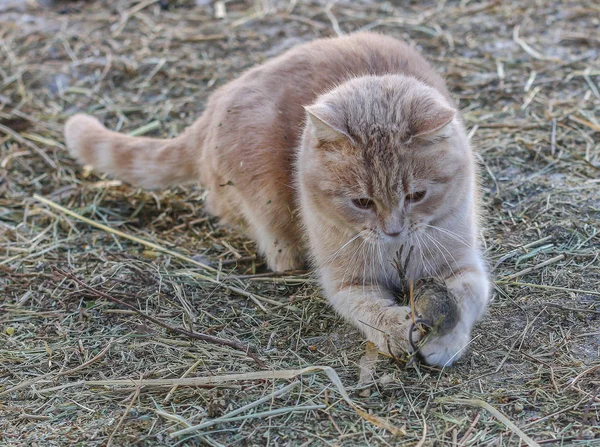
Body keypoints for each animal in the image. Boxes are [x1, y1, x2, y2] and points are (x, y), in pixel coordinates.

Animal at [65, 31, 490, 368]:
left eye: (417, 195)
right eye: (362, 203)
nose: (393, 231)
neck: (396, 252)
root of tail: (211, 108)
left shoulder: (463, 264)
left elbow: (466, 296)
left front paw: (445, 340)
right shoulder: (347, 283)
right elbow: (372, 311)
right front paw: (399, 331)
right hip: (266, 204)